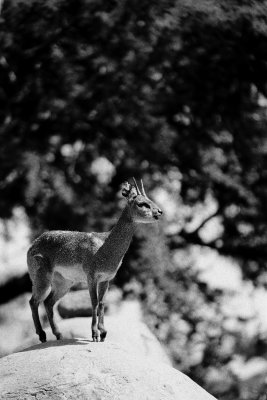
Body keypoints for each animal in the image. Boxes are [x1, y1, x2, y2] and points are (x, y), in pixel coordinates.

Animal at [28, 180, 164, 342]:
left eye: (151, 199)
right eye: (142, 203)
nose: (159, 211)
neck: (105, 246)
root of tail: (33, 245)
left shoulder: (106, 279)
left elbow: (101, 303)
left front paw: (103, 332)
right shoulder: (91, 277)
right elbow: (93, 302)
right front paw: (94, 334)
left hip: (63, 283)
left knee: (48, 302)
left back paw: (58, 334)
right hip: (42, 279)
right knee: (33, 301)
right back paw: (42, 335)